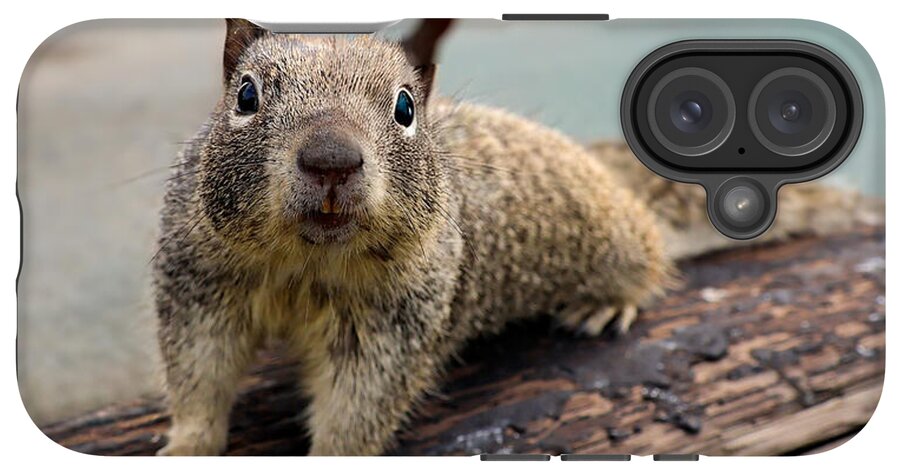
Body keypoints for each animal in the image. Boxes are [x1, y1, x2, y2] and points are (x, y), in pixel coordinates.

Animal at [154, 19, 878, 456]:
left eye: (406, 107)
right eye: (246, 96)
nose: (331, 159)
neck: (307, 264)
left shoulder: (395, 323)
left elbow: (358, 406)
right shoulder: (200, 284)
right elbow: (198, 373)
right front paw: (185, 444)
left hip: (616, 238)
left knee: (648, 255)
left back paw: (606, 302)